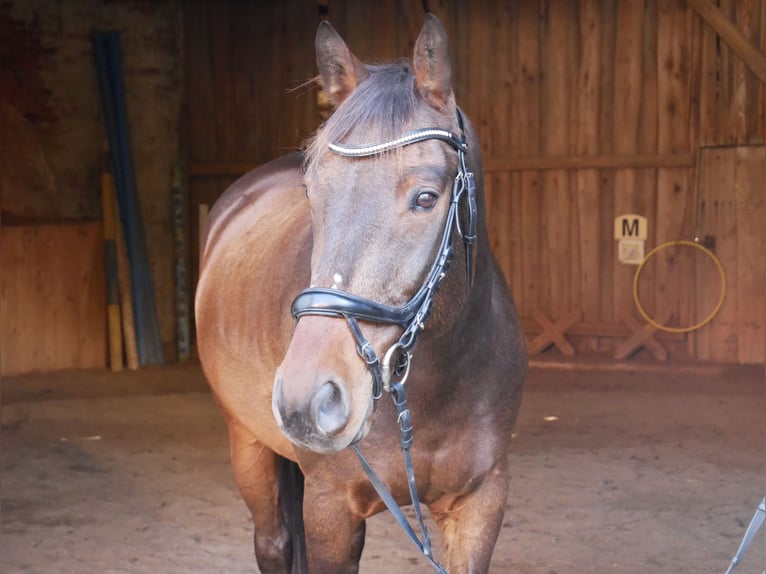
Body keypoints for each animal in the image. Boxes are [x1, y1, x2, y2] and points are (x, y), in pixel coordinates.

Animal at [196, 13, 528, 574]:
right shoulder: (330, 511)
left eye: (426, 198)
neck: (435, 384)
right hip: (248, 443)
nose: (307, 400)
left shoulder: (481, 501)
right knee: (274, 542)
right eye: (312, 191)